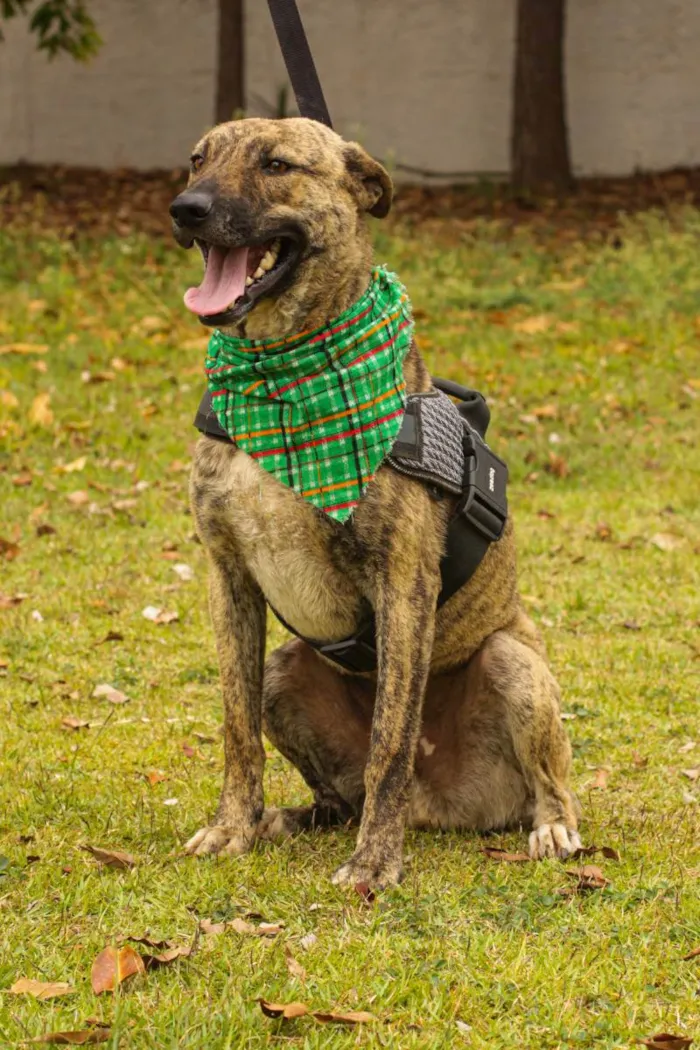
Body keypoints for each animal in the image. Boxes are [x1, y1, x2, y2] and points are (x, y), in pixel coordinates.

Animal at [167, 117, 579, 886]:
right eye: (197, 159)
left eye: (277, 165)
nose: (187, 209)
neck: (281, 382)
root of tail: (436, 808)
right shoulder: (227, 576)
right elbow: (237, 728)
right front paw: (233, 826)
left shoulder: (403, 586)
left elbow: (392, 739)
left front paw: (373, 864)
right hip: (284, 673)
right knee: (337, 791)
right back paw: (288, 819)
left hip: (513, 662)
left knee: (544, 783)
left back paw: (551, 828)